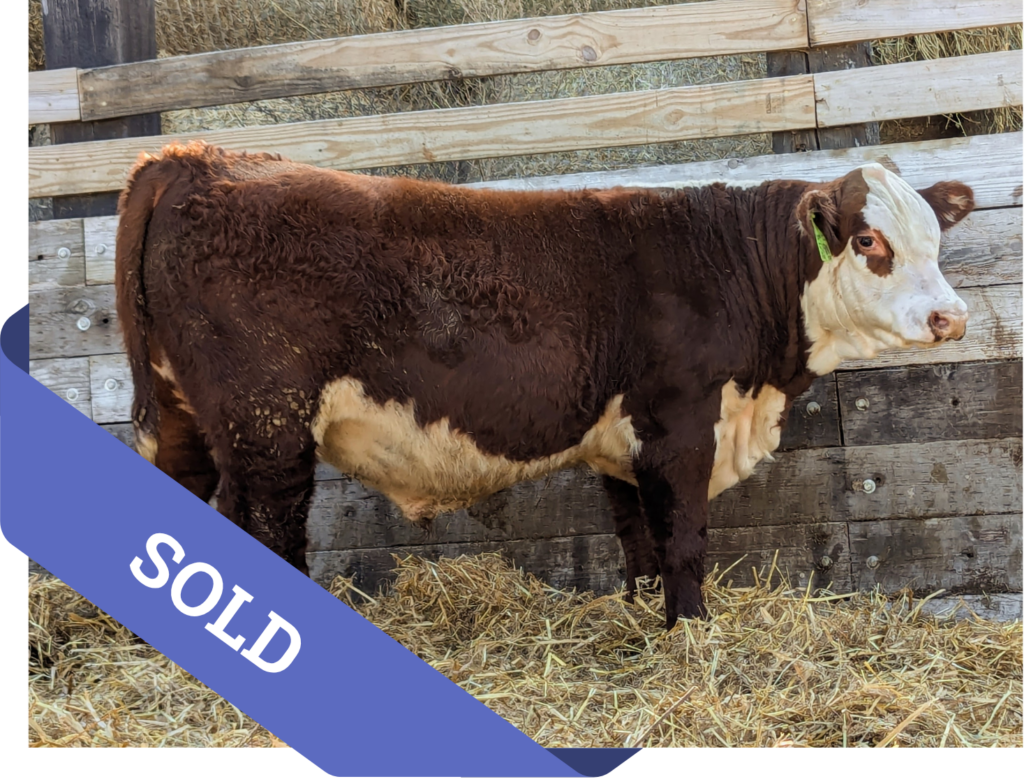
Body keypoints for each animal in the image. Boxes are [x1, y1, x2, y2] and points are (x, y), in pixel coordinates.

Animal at [115, 141, 973, 628]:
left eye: (936, 237)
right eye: (868, 241)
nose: (951, 317)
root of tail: (194, 158)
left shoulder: (625, 440)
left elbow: (637, 540)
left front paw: (642, 619)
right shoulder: (680, 423)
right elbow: (683, 538)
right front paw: (692, 631)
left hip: (186, 413)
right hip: (267, 425)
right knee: (266, 524)